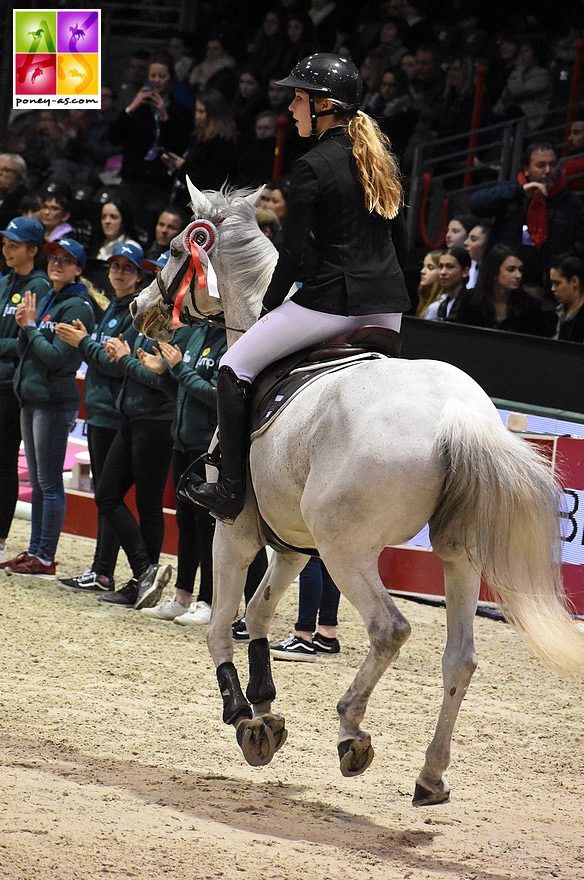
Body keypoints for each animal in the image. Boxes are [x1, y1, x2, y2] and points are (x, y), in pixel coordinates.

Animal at [132, 182, 584, 808]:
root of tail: (457, 416)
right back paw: (430, 776)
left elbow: (224, 619)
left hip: (348, 553)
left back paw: (351, 729)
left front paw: (242, 713)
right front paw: (265, 708)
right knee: (460, 658)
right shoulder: (293, 545)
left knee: (390, 629)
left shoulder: (237, 529)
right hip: (456, 556)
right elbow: (260, 608)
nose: (139, 309)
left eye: (177, 248)